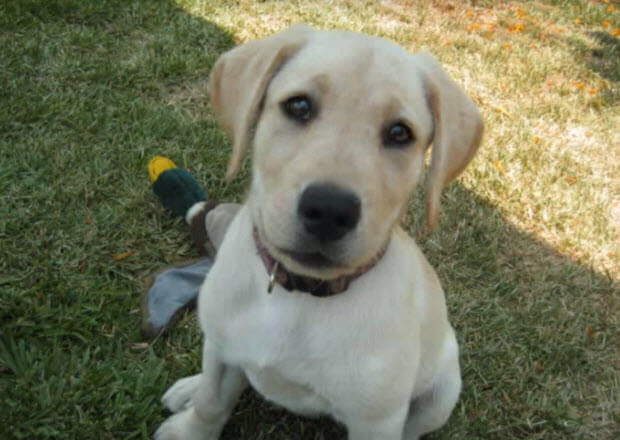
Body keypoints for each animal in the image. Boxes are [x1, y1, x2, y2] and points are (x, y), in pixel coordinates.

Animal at [154, 24, 480, 440]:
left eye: (399, 133)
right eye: (299, 107)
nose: (329, 210)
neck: (300, 294)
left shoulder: (377, 421)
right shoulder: (222, 349)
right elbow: (212, 401)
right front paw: (191, 429)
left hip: (442, 390)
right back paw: (188, 390)